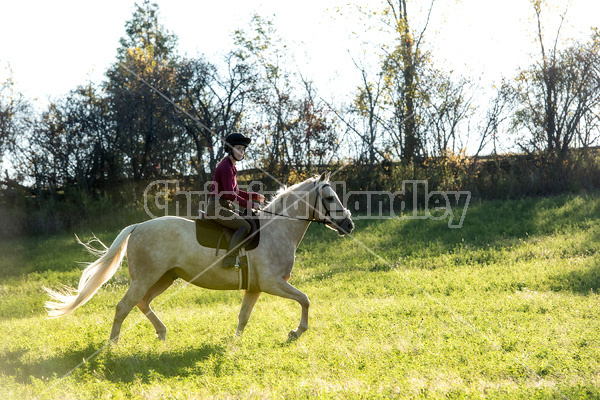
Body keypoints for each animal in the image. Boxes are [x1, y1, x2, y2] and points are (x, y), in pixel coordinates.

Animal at [48, 173, 356, 342]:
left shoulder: (255, 288)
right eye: (330, 198)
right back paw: (112, 346)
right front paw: (297, 331)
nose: (349, 225)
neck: (277, 228)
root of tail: (137, 227)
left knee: (143, 303)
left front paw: (234, 344)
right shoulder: (273, 283)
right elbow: (305, 299)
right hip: (146, 278)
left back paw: (162, 333)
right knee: (124, 307)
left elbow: (243, 317)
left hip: (164, 278)